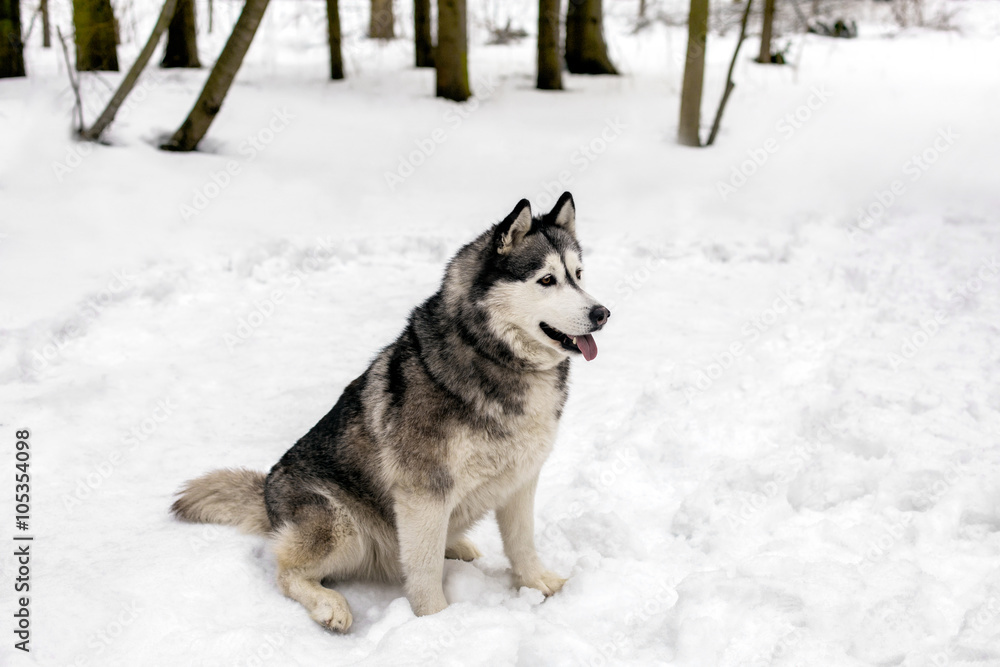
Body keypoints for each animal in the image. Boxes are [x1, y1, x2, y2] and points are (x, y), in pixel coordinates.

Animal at [173, 193, 608, 632]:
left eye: (578, 275)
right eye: (547, 280)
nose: (602, 313)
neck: (492, 356)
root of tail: (266, 492)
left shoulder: (521, 478)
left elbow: (521, 542)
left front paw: (537, 584)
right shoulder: (424, 492)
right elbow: (424, 568)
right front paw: (436, 623)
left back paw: (458, 545)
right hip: (342, 527)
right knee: (287, 572)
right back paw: (330, 604)